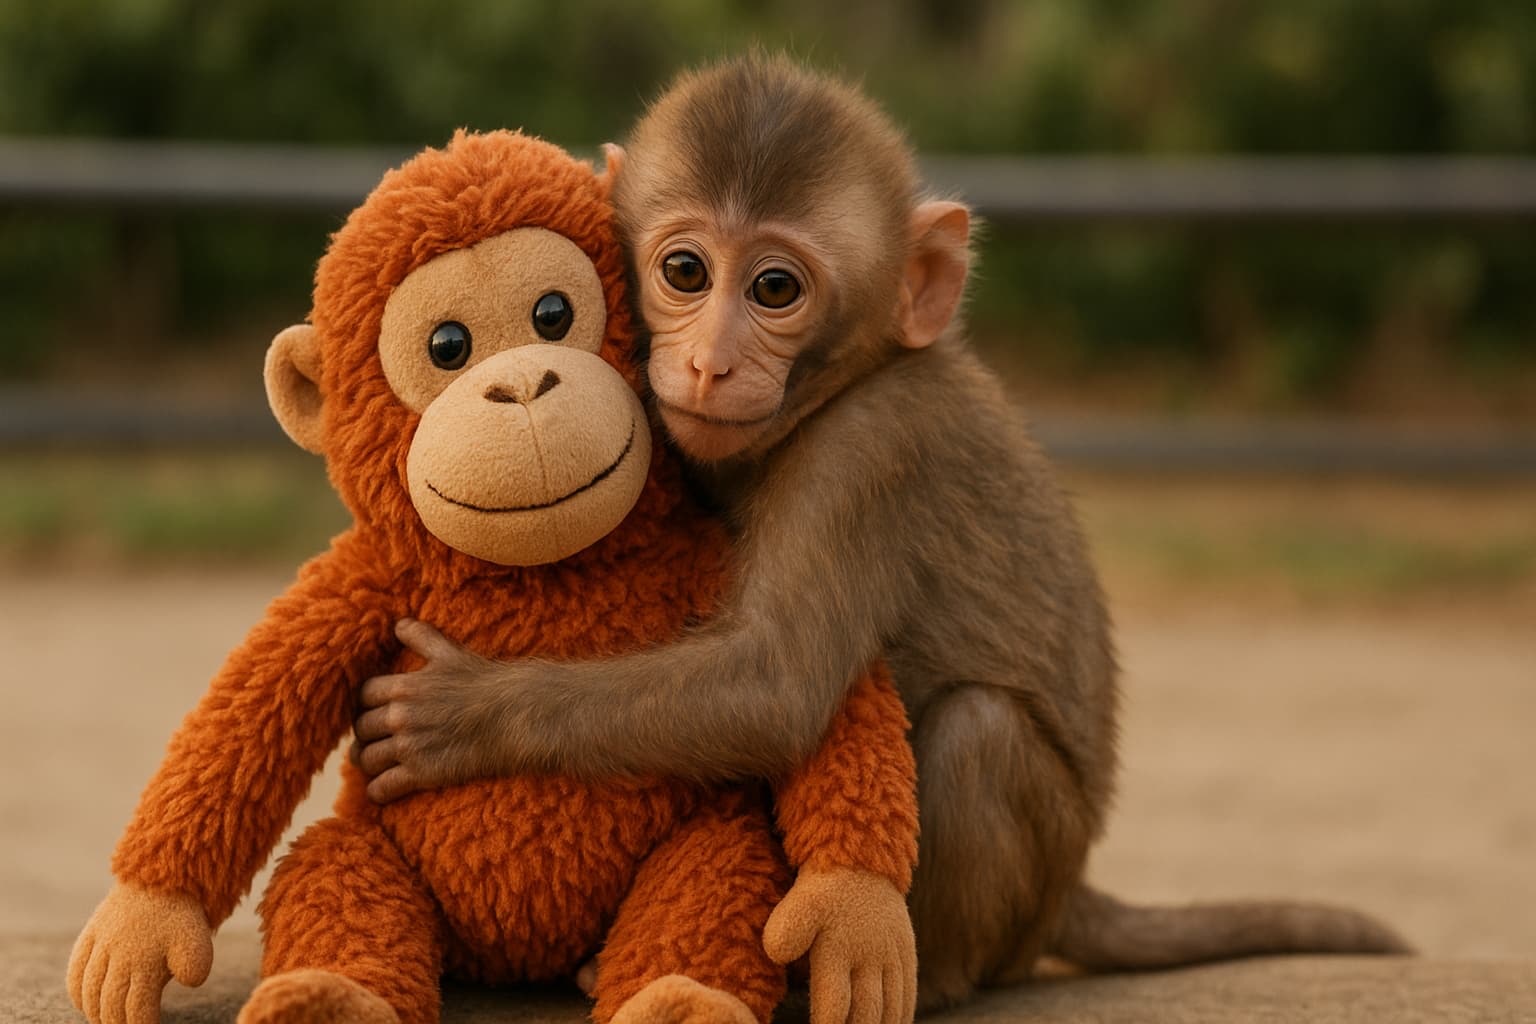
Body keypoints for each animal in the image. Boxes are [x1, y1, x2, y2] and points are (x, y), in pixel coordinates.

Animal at [352, 56, 1411, 1013]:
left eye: (775, 289)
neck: (844, 382)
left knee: (978, 732)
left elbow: (774, 687)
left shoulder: (869, 454)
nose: (708, 362)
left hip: (1026, 891)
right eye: (685, 271)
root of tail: (1070, 891)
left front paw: (471, 714)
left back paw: (920, 975)